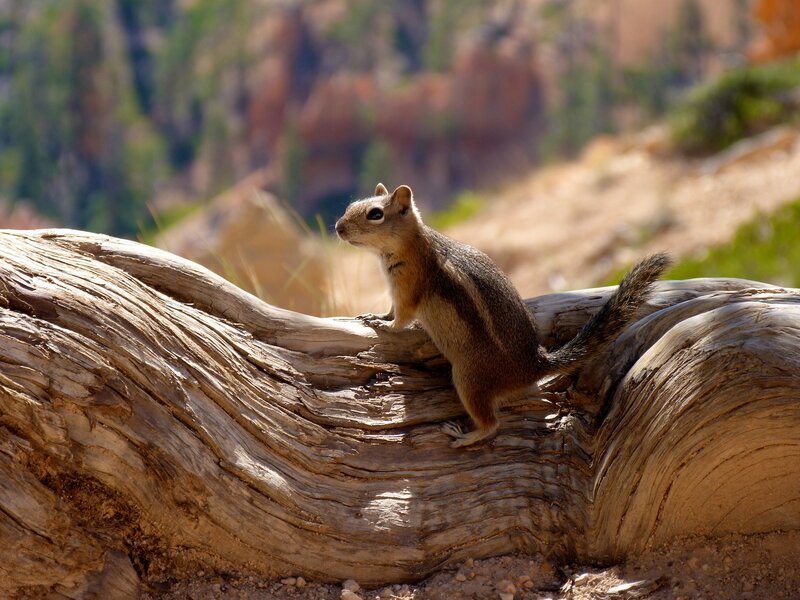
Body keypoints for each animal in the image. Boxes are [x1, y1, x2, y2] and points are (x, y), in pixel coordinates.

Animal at [335, 183, 670, 447]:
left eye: (375, 214)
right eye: (350, 206)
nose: (338, 228)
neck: (410, 244)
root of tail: (535, 364)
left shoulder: (410, 285)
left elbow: (401, 319)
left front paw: (381, 324)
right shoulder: (396, 290)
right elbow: (393, 309)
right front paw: (376, 314)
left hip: (469, 377)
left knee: (492, 423)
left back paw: (463, 437)